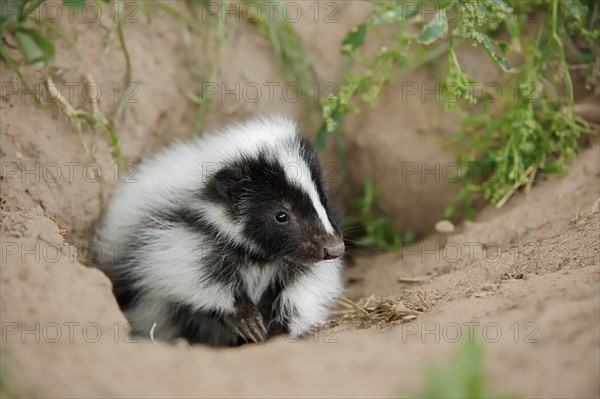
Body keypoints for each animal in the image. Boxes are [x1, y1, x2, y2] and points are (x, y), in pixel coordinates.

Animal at [94, 116, 346, 346]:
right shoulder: (180, 233)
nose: (334, 248)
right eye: (281, 215)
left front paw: (280, 327)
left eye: (323, 200)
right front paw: (245, 319)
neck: (259, 259)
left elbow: (304, 285)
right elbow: (190, 274)